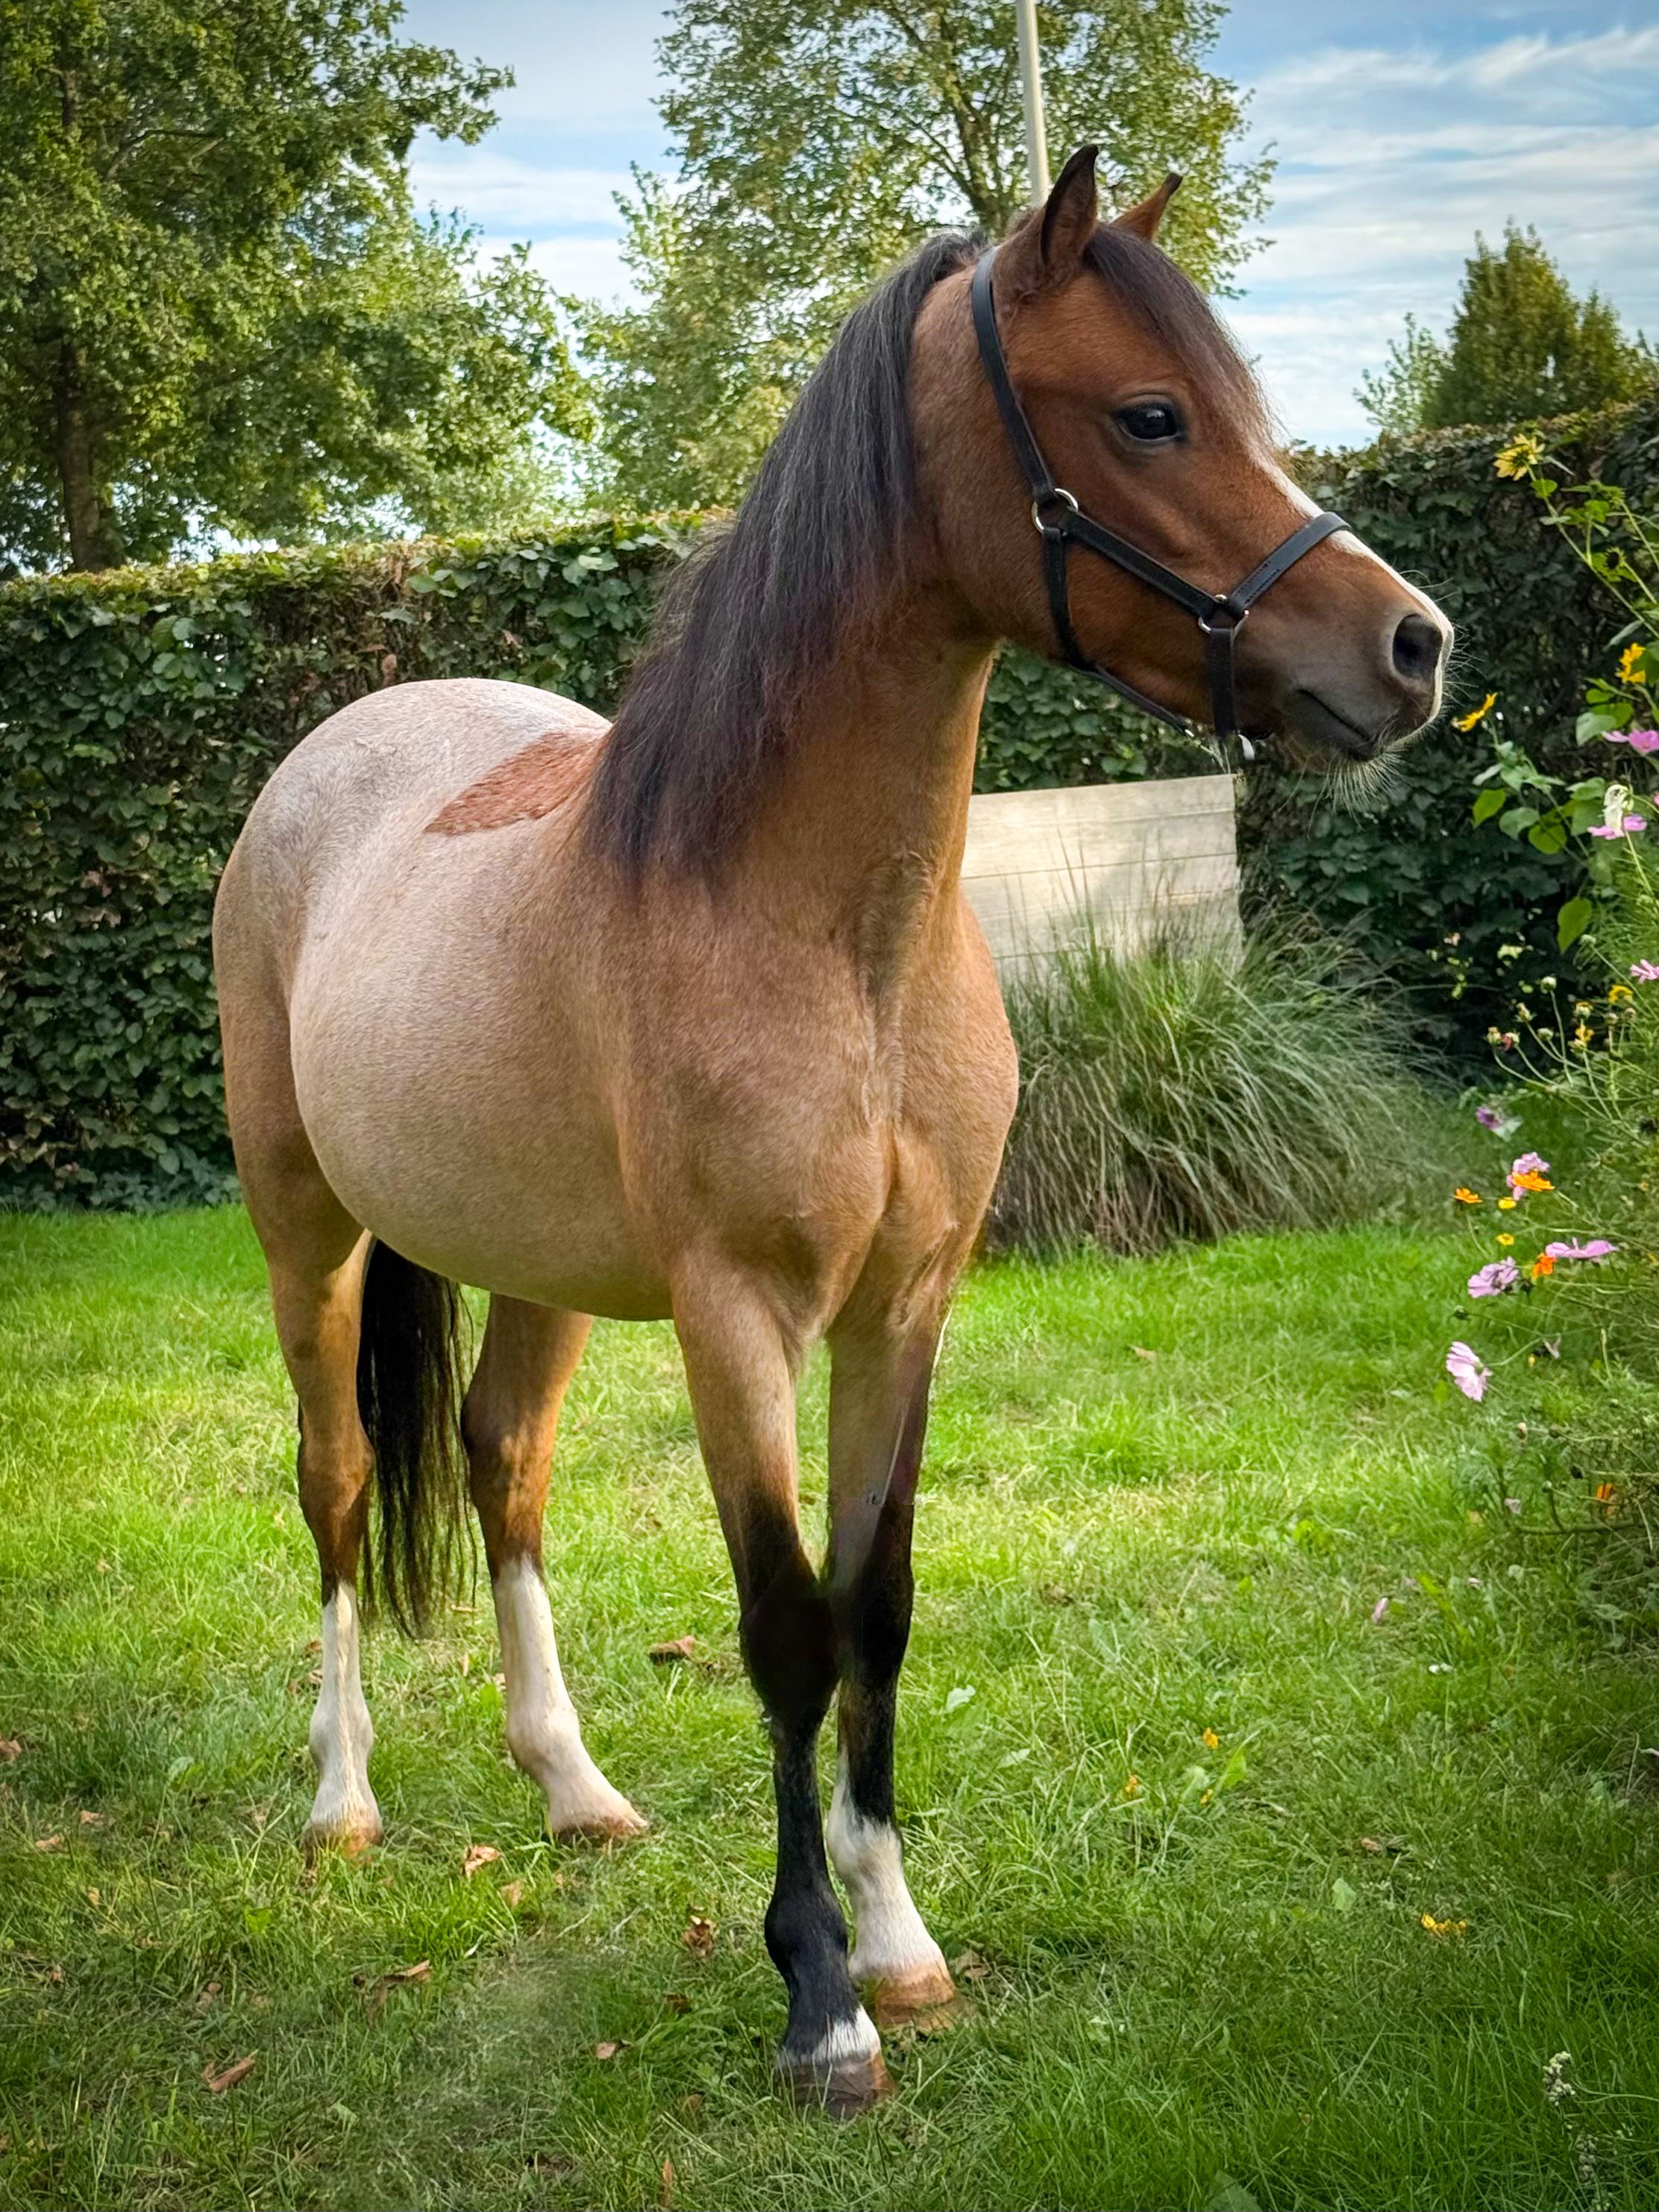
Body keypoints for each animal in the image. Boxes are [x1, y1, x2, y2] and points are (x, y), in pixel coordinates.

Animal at [212, 146, 1451, 2114]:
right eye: (1149, 412)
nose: (1410, 647)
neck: (817, 930)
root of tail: (335, 750)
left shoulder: (902, 1310)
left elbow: (876, 1604)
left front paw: (897, 1939)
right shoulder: (737, 1321)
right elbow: (785, 1627)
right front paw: (818, 2000)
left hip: (536, 1269)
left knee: (499, 1464)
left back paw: (572, 1786)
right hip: (304, 1232)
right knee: (335, 1482)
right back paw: (341, 1799)